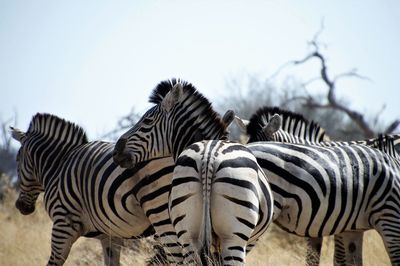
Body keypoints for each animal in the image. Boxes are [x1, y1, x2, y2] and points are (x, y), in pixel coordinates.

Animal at [9, 113, 172, 264]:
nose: (20, 206)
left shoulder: (63, 223)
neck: (59, 165)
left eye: (17, 160)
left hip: (160, 209)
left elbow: (54, 262)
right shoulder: (110, 234)